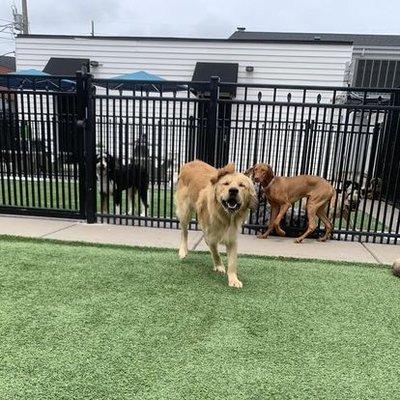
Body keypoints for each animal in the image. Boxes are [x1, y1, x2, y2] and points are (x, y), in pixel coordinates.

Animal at [177, 159, 258, 288]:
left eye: (241, 185)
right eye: (226, 183)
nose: (233, 190)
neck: (226, 217)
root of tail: (191, 162)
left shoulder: (232, 239)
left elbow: (232, 262)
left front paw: (233, 279)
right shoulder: (210, 235)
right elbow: (215, 251)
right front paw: (219, 266)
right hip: (184, 211)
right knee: (184, 232)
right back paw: (183, 251)